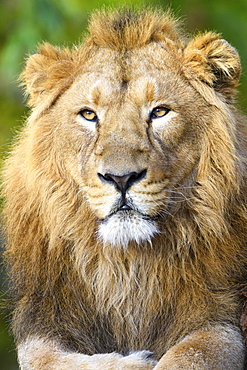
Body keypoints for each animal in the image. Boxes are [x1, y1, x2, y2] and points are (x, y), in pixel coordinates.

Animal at [1, 8, 247, 370]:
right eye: (89, 115)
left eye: (159, 111)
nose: (121, 178)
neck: (127, 264)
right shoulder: (44, 324)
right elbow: (52, 362)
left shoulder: (222, 314)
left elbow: (190, 356)